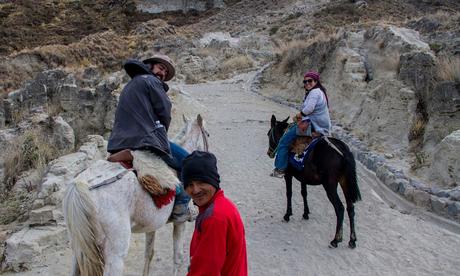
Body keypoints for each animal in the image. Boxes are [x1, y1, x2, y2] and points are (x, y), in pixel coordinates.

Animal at [62, 114, 208, 276]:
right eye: (207, 135)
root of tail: (81, 185)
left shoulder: (152, 225)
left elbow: (149, 253)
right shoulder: (180, 222)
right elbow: (178, 257)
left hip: (79, 249)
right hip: (115, 254)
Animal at [268, 114, 362, 248]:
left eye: (268, 134)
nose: (269, 153)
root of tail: (344, 152)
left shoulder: (289, 174)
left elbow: (289, 193)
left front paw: (287, 215)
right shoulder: (303, 176)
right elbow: (304, 193)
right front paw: (305, 213)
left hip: (330, 184)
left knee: (340, 208)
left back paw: (336, 239)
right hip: (344, 182)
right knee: (350, 208)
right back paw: (352, 240)